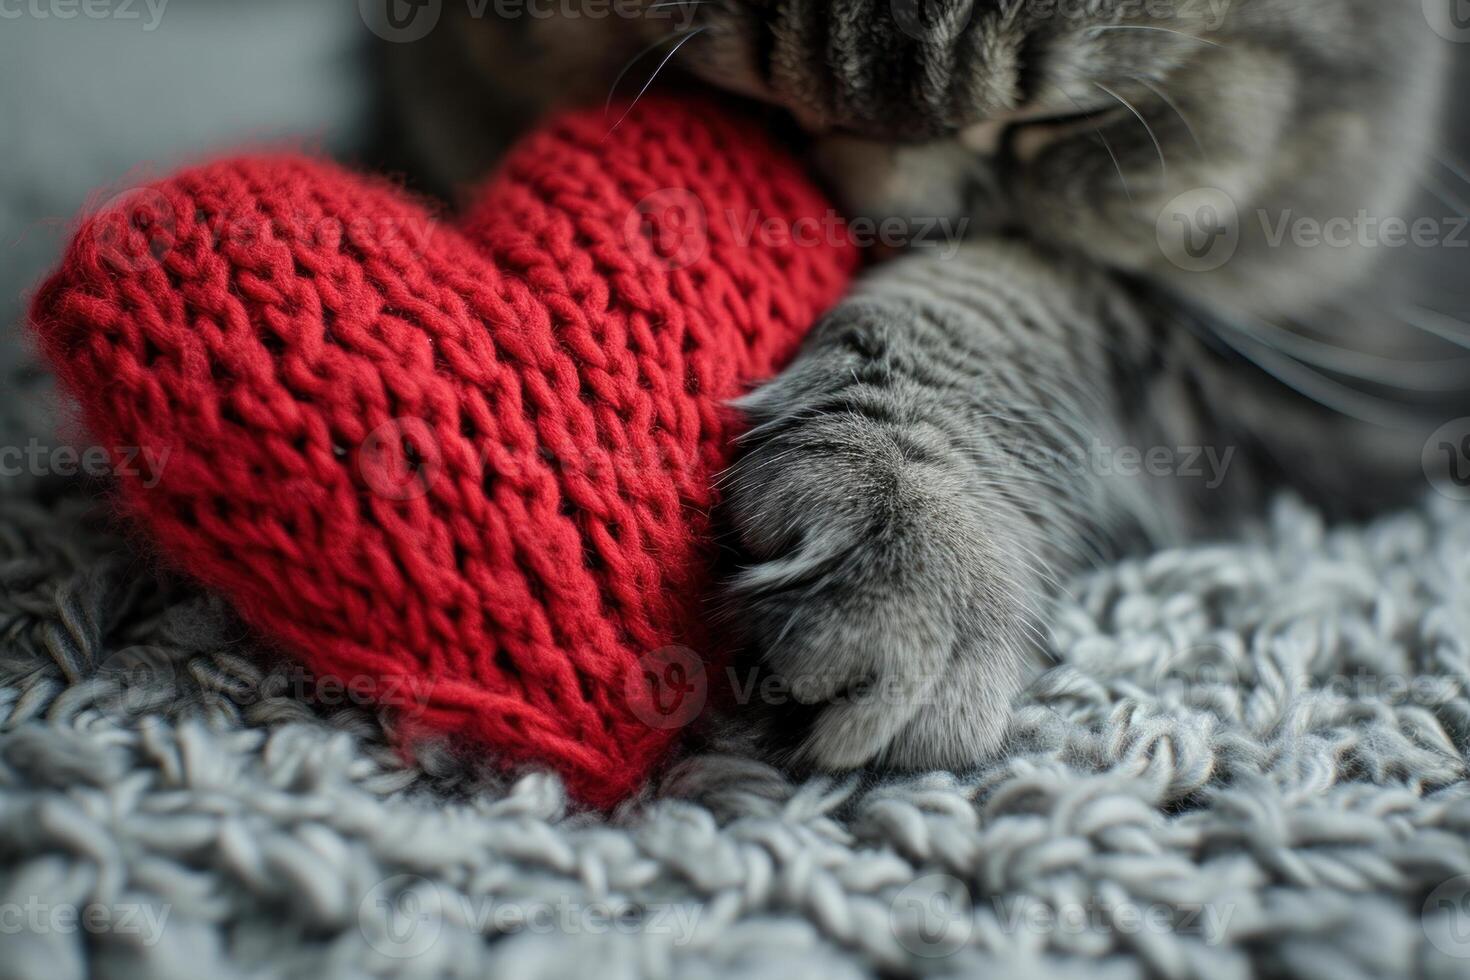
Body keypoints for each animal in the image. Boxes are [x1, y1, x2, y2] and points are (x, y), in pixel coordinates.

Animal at [385, 3, 1464, 775]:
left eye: (1064, 119)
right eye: (753, 104)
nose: (890, 231)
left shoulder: (1350, 376)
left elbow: (1026, 286)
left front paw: (913, 536)